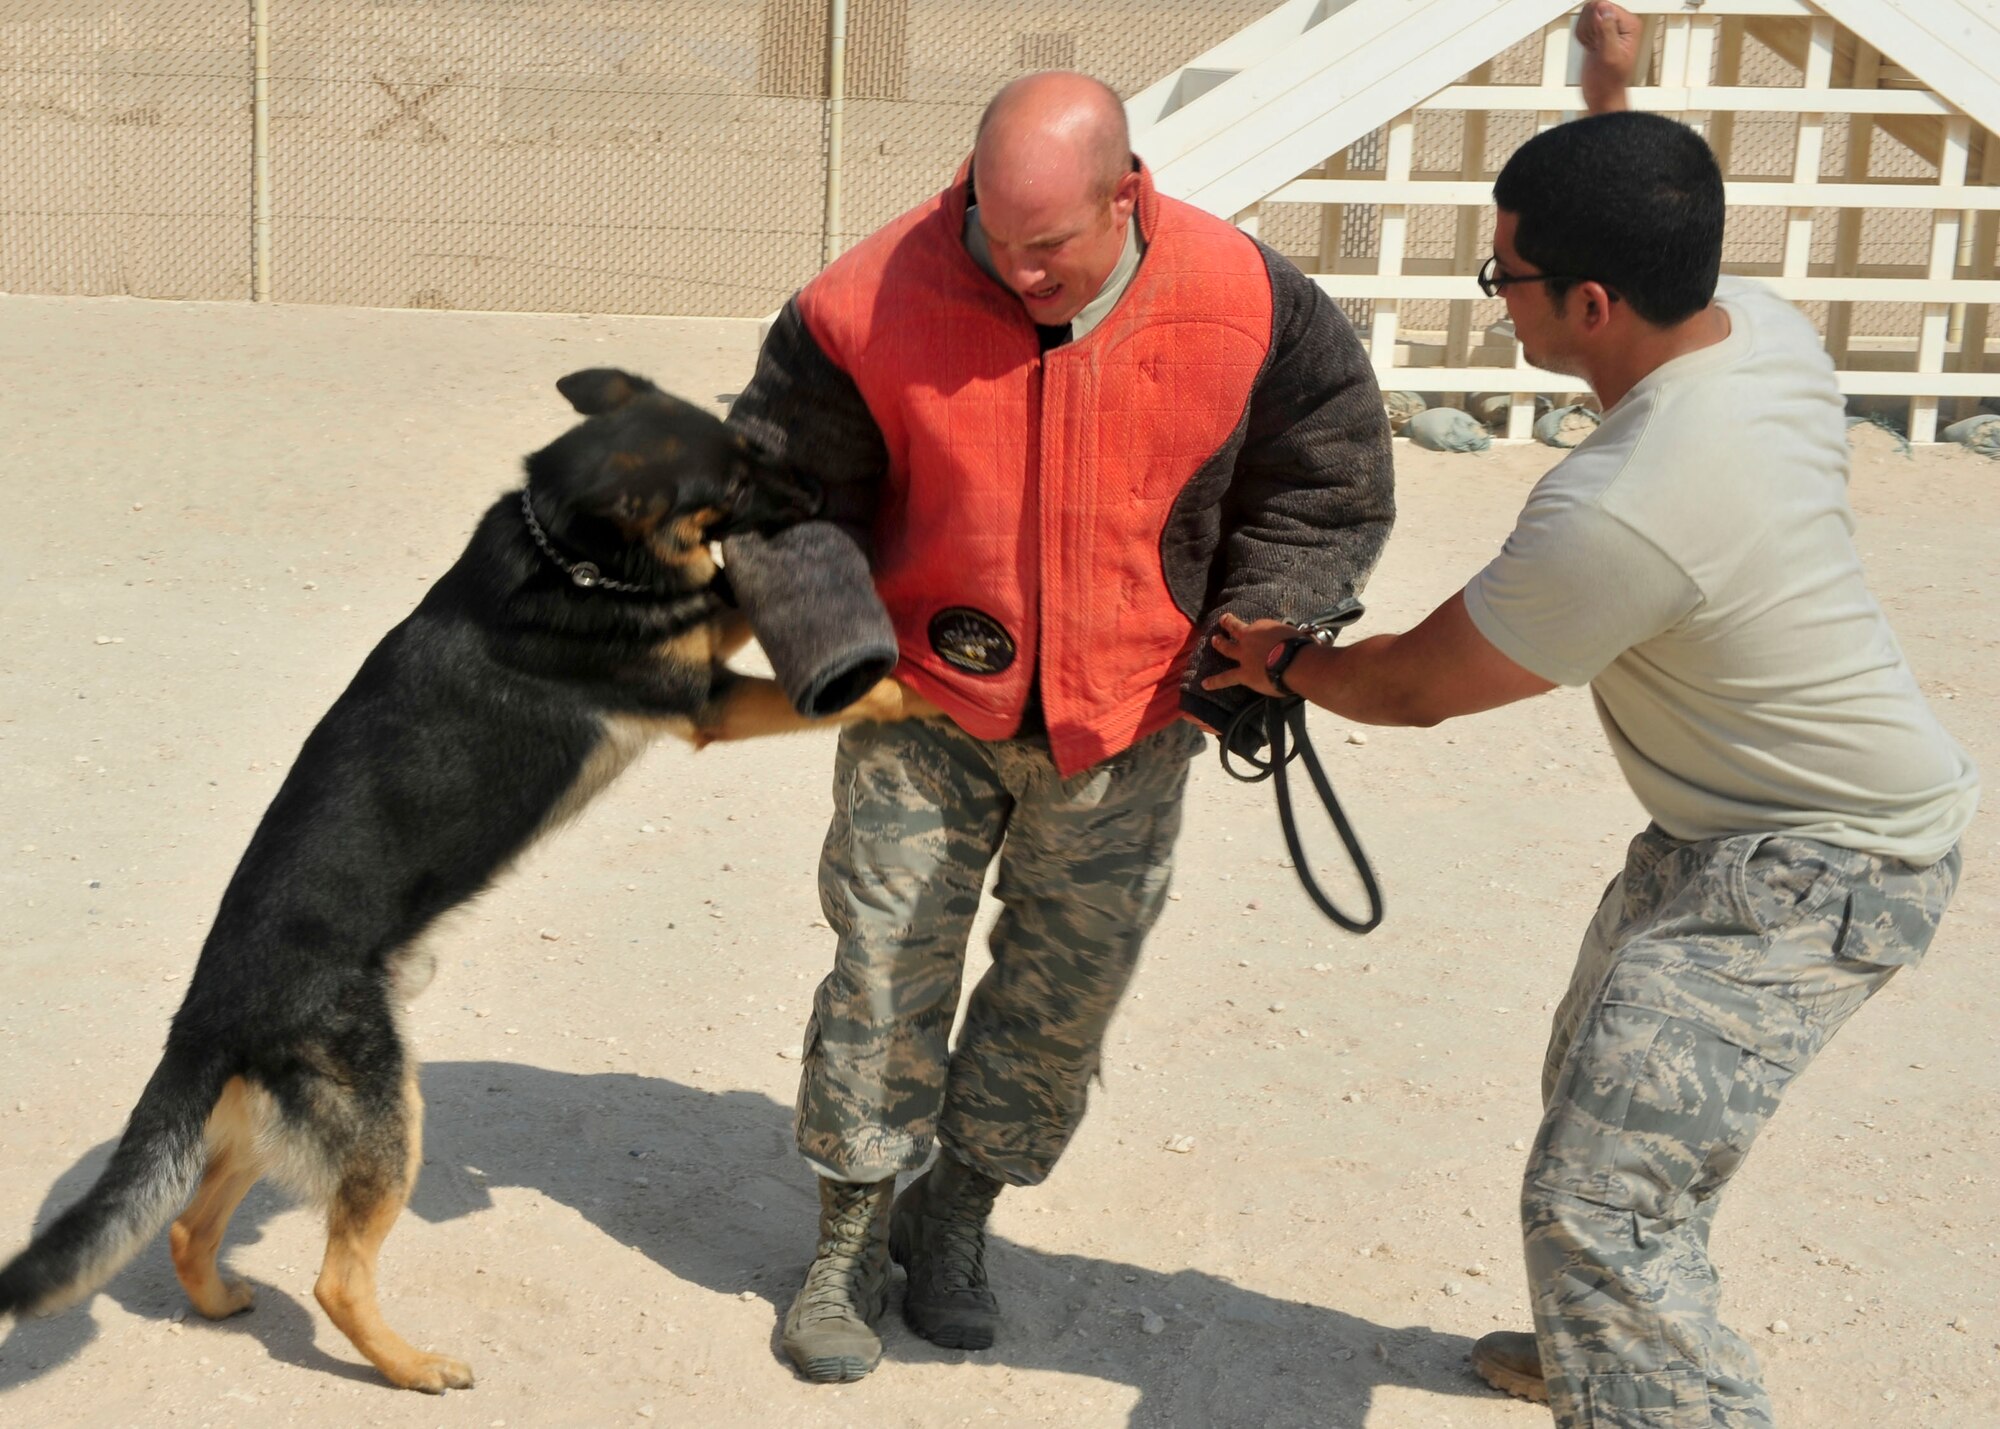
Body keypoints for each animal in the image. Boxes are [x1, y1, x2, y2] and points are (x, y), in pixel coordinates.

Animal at [0, 368, 920, 1392]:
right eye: (731, 480)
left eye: (751, 447)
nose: (821, 499)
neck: (564, 551)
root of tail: (206, 1019)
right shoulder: (704, 696)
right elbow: (791, 645)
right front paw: (920, 682)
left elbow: (720, 594)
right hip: (386, 1121)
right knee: (334, 1278)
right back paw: (413, 1366)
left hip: (272, 1129)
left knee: (187, 1228)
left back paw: (224, 1301)